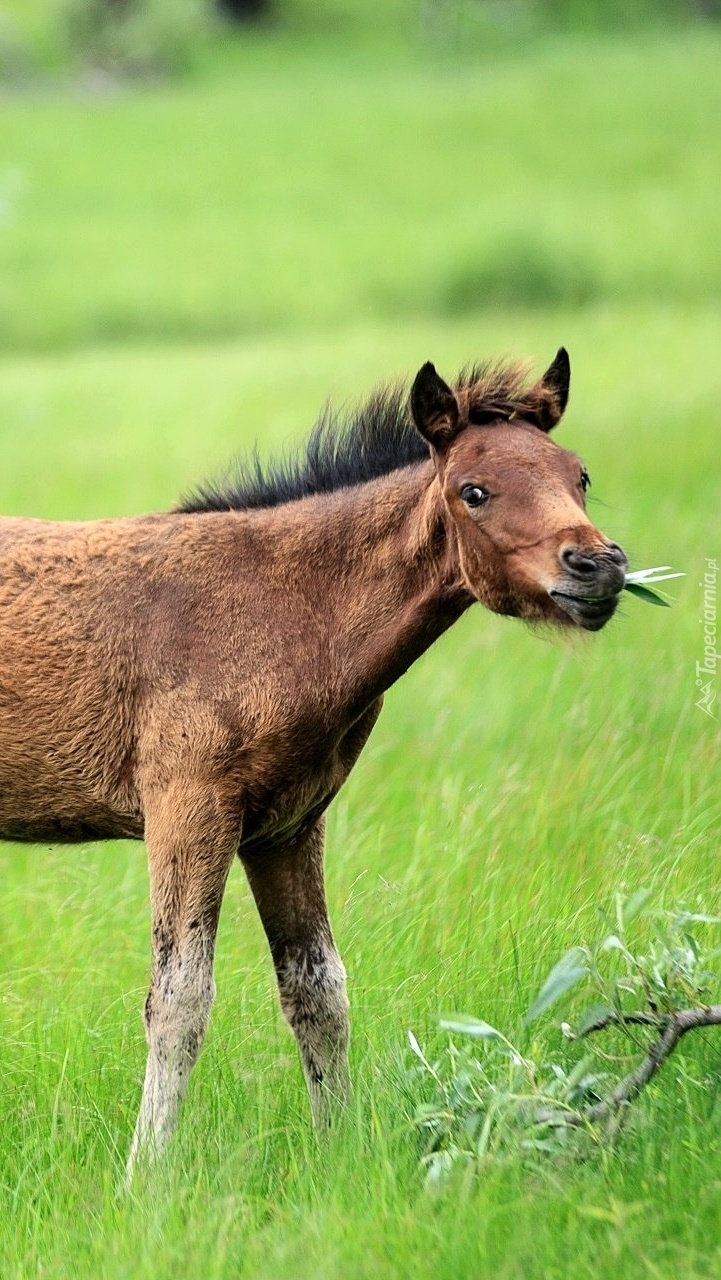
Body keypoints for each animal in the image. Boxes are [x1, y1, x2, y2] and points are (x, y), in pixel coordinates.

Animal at [0, 350, 627, 1172]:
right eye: (474, 491)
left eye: (579, 475)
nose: (598, 566)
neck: (285, 614)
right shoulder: (187, 809)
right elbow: (178, 999)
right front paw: (146, 1173)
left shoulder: (288, 826)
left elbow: (317, 989)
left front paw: (340, 1151)